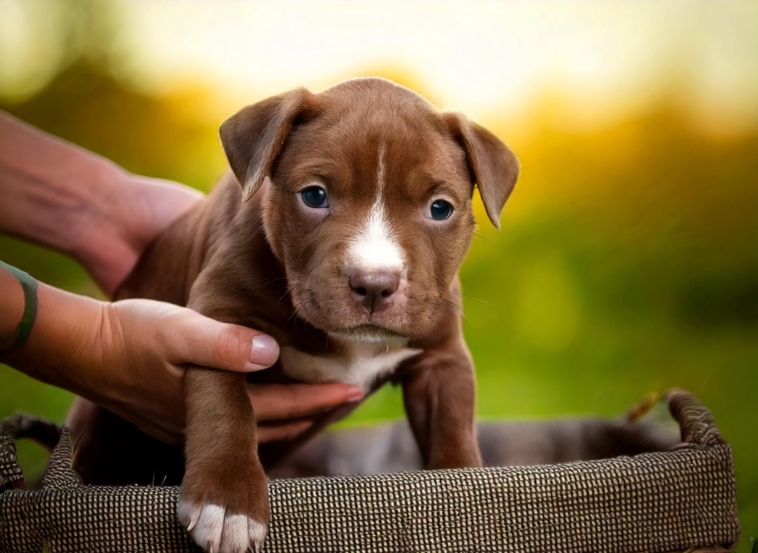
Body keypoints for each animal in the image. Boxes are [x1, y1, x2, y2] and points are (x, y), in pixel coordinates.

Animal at [72, 77, 524, 552]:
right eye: (314, 196)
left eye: (440, 208)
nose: (374, 283)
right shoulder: (220, 325)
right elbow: (226, 408)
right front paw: (227, 502)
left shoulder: (443, 358)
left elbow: (452, 429)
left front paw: (467, 494)